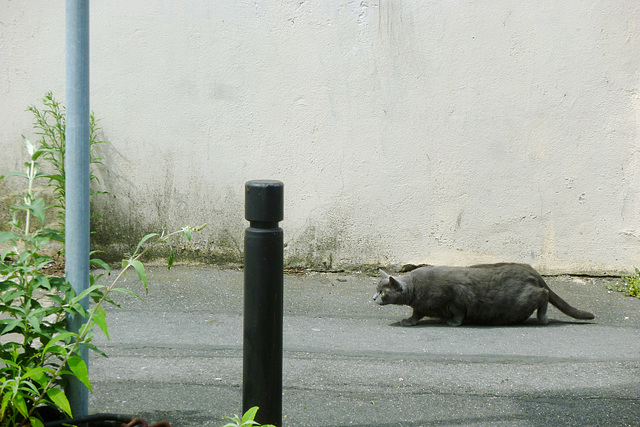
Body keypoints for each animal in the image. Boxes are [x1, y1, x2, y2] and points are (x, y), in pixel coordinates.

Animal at [372, 262, 596, 326]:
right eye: (376, 290)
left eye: (382, 292)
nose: (373, 298)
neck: (415, 288)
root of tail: (531, 269)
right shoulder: (421, 306)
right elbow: (416, 314)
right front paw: (408, 321)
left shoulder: (455, 298)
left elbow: (458, 312)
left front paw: (454, 323)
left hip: (524, 298)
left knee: (545, 294)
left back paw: (543, 318)